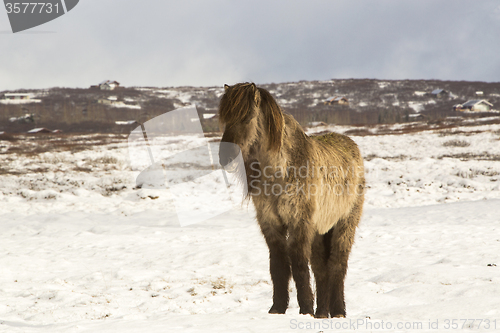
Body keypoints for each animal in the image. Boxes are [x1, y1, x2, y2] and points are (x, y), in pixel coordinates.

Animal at [218, 82, 364, 316]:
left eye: (247, 116)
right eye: (224, 118)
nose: (226, 158)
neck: (280, 171)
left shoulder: (299, 222)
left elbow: (298, 264)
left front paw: (305, 308)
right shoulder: (271, 223)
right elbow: (278, 264)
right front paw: (277, 308)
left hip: (345, 223)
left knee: (337, 265)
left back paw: (338, 311)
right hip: (319, 231)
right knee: (321, 269)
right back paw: (322, 313)